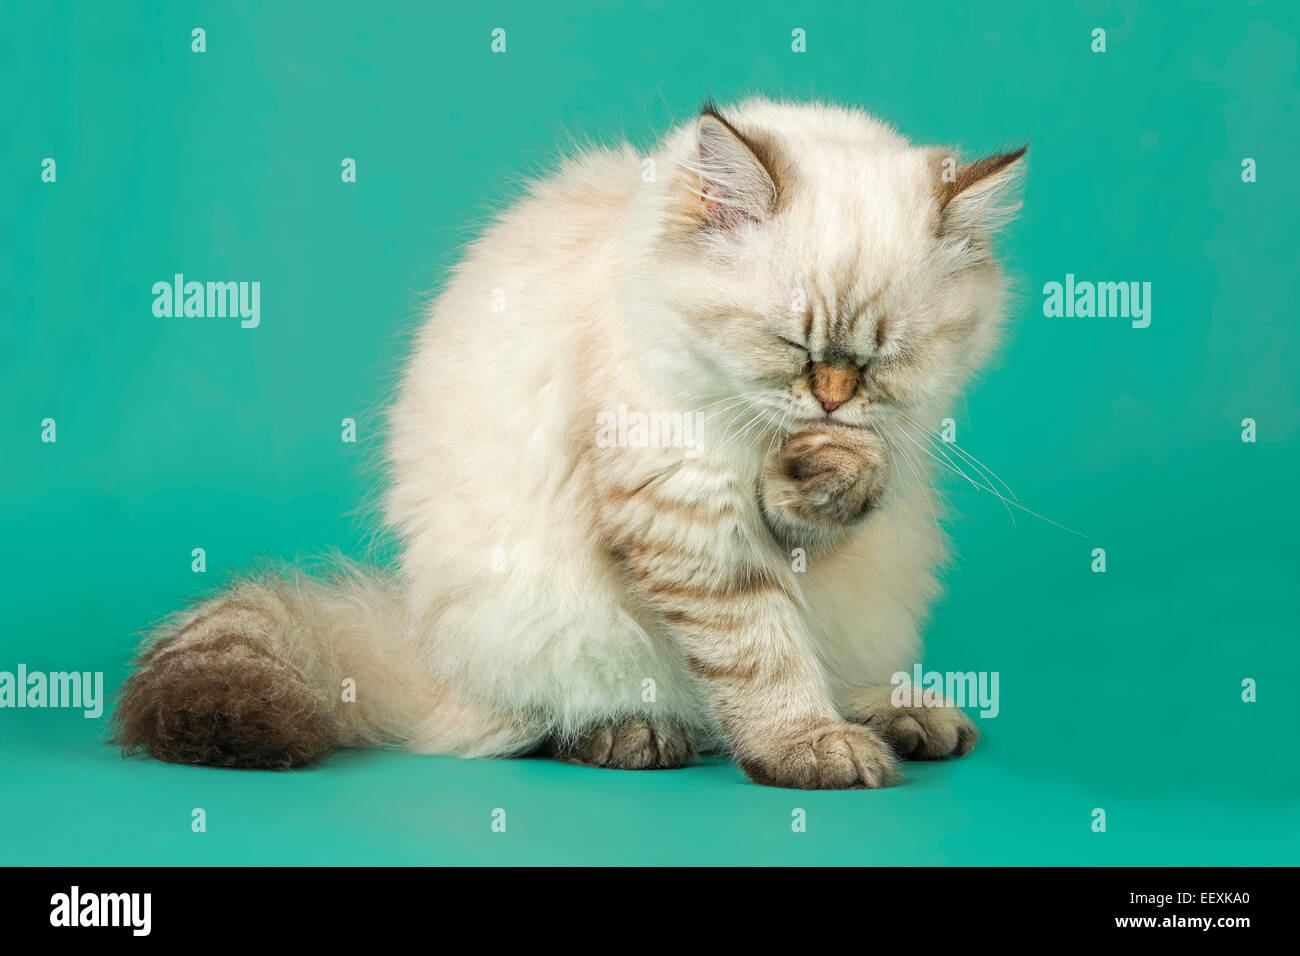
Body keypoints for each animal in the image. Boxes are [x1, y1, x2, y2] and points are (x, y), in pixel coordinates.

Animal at [114, 97, 1024, 790]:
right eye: (791, 344)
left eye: (882, 360)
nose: (832, 396)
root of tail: (425, 651)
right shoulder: (685, 515)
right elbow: (760, 656)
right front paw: (806, 747)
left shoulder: (803, 521)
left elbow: (826, 517)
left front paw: (839, 464)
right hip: (547, 627)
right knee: (541, 725)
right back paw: (636, 735)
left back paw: (901, 714)